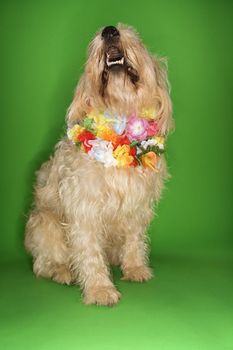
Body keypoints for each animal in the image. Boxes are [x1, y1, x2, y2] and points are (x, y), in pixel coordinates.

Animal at [24, 23, 173, 306]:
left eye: (135, 37)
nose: (110, 30)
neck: (121, 114)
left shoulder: (137, 205)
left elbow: (135, 239)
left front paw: (135, 268)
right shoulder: (84, 208)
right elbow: (89, 252)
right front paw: (99, 289)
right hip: (45, 225)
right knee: (42, 264)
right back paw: (63, 272)